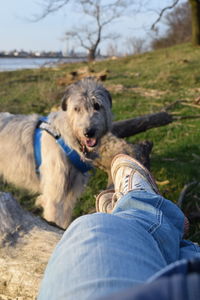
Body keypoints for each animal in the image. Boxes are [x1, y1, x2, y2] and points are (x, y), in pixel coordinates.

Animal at [0, 77, 112, 227]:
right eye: (76, 108)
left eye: (97, 105)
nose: (89, 132)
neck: (68, 139)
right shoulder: (54, 194)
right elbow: (54, 217)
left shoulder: (71, 192)